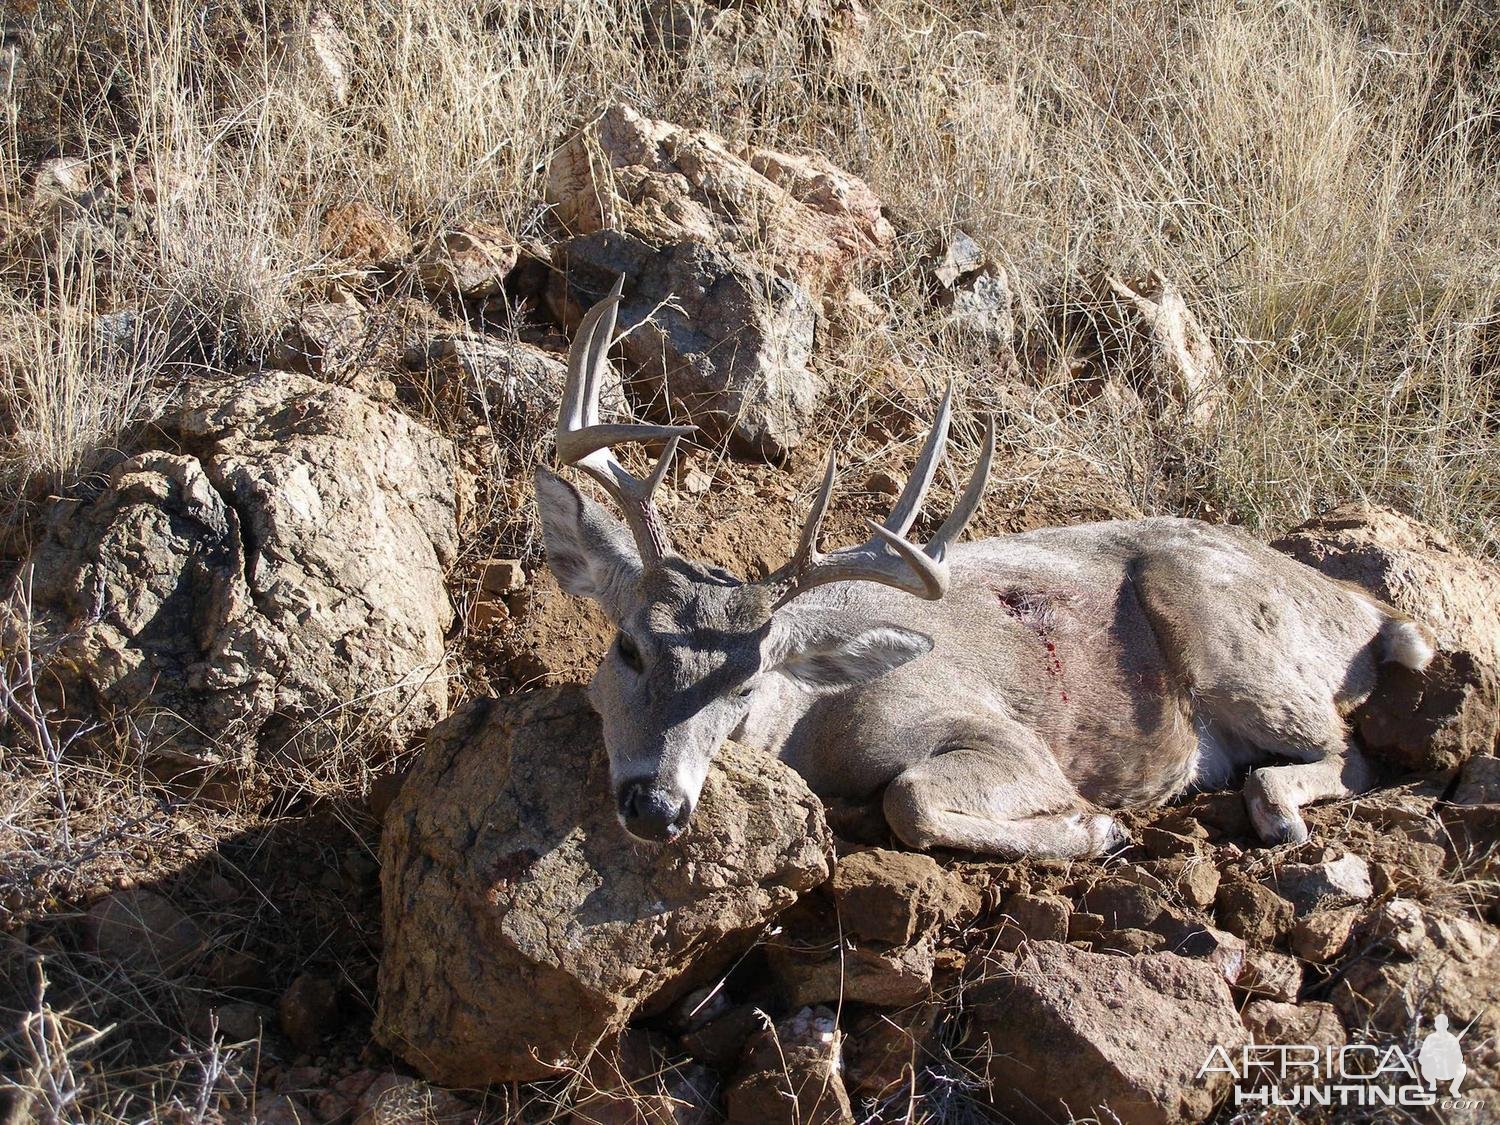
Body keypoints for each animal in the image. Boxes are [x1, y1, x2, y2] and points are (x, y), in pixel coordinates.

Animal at [534, 282, 1434, 864]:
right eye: (628, 648)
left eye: (746, 684)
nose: (655, 805)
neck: (811, 722)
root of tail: (1363, 611)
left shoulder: (996, 731)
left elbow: (909, 796)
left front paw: (1097, 828)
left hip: (1225, 631)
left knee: (1350, 750)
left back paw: (1275, 810)